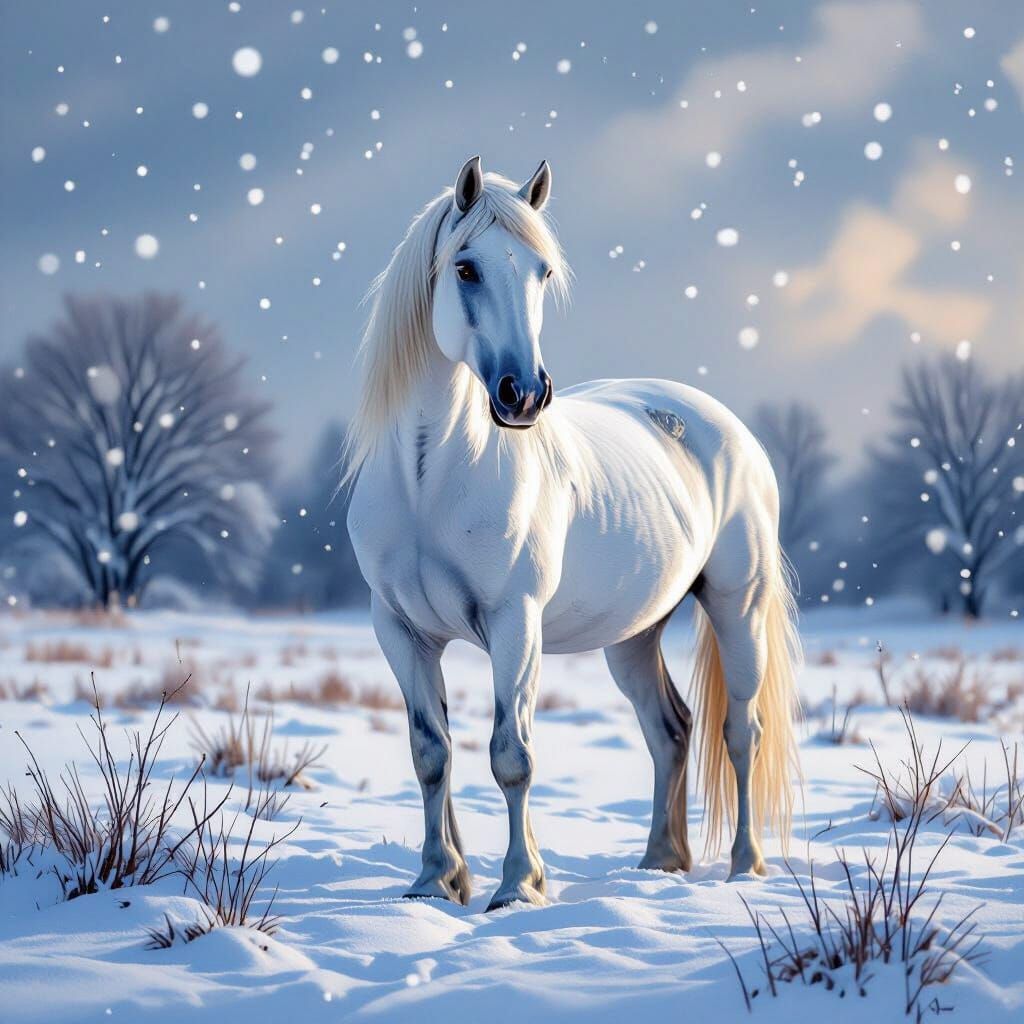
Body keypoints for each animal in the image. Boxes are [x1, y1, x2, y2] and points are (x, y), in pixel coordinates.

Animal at [345, 156, 801, 911]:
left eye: (542, 271)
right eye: (465, 267)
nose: (523, 395)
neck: (427, 479)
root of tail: (719, 422)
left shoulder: (514, 624)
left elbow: (512, 755)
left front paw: (517, 887)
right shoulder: (400, 629)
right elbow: (431, 752)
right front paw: (435, 881)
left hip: (739, 608)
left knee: (741, 731)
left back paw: (744, 867)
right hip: (633, 635)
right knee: (671, 731)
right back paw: (659, 861)